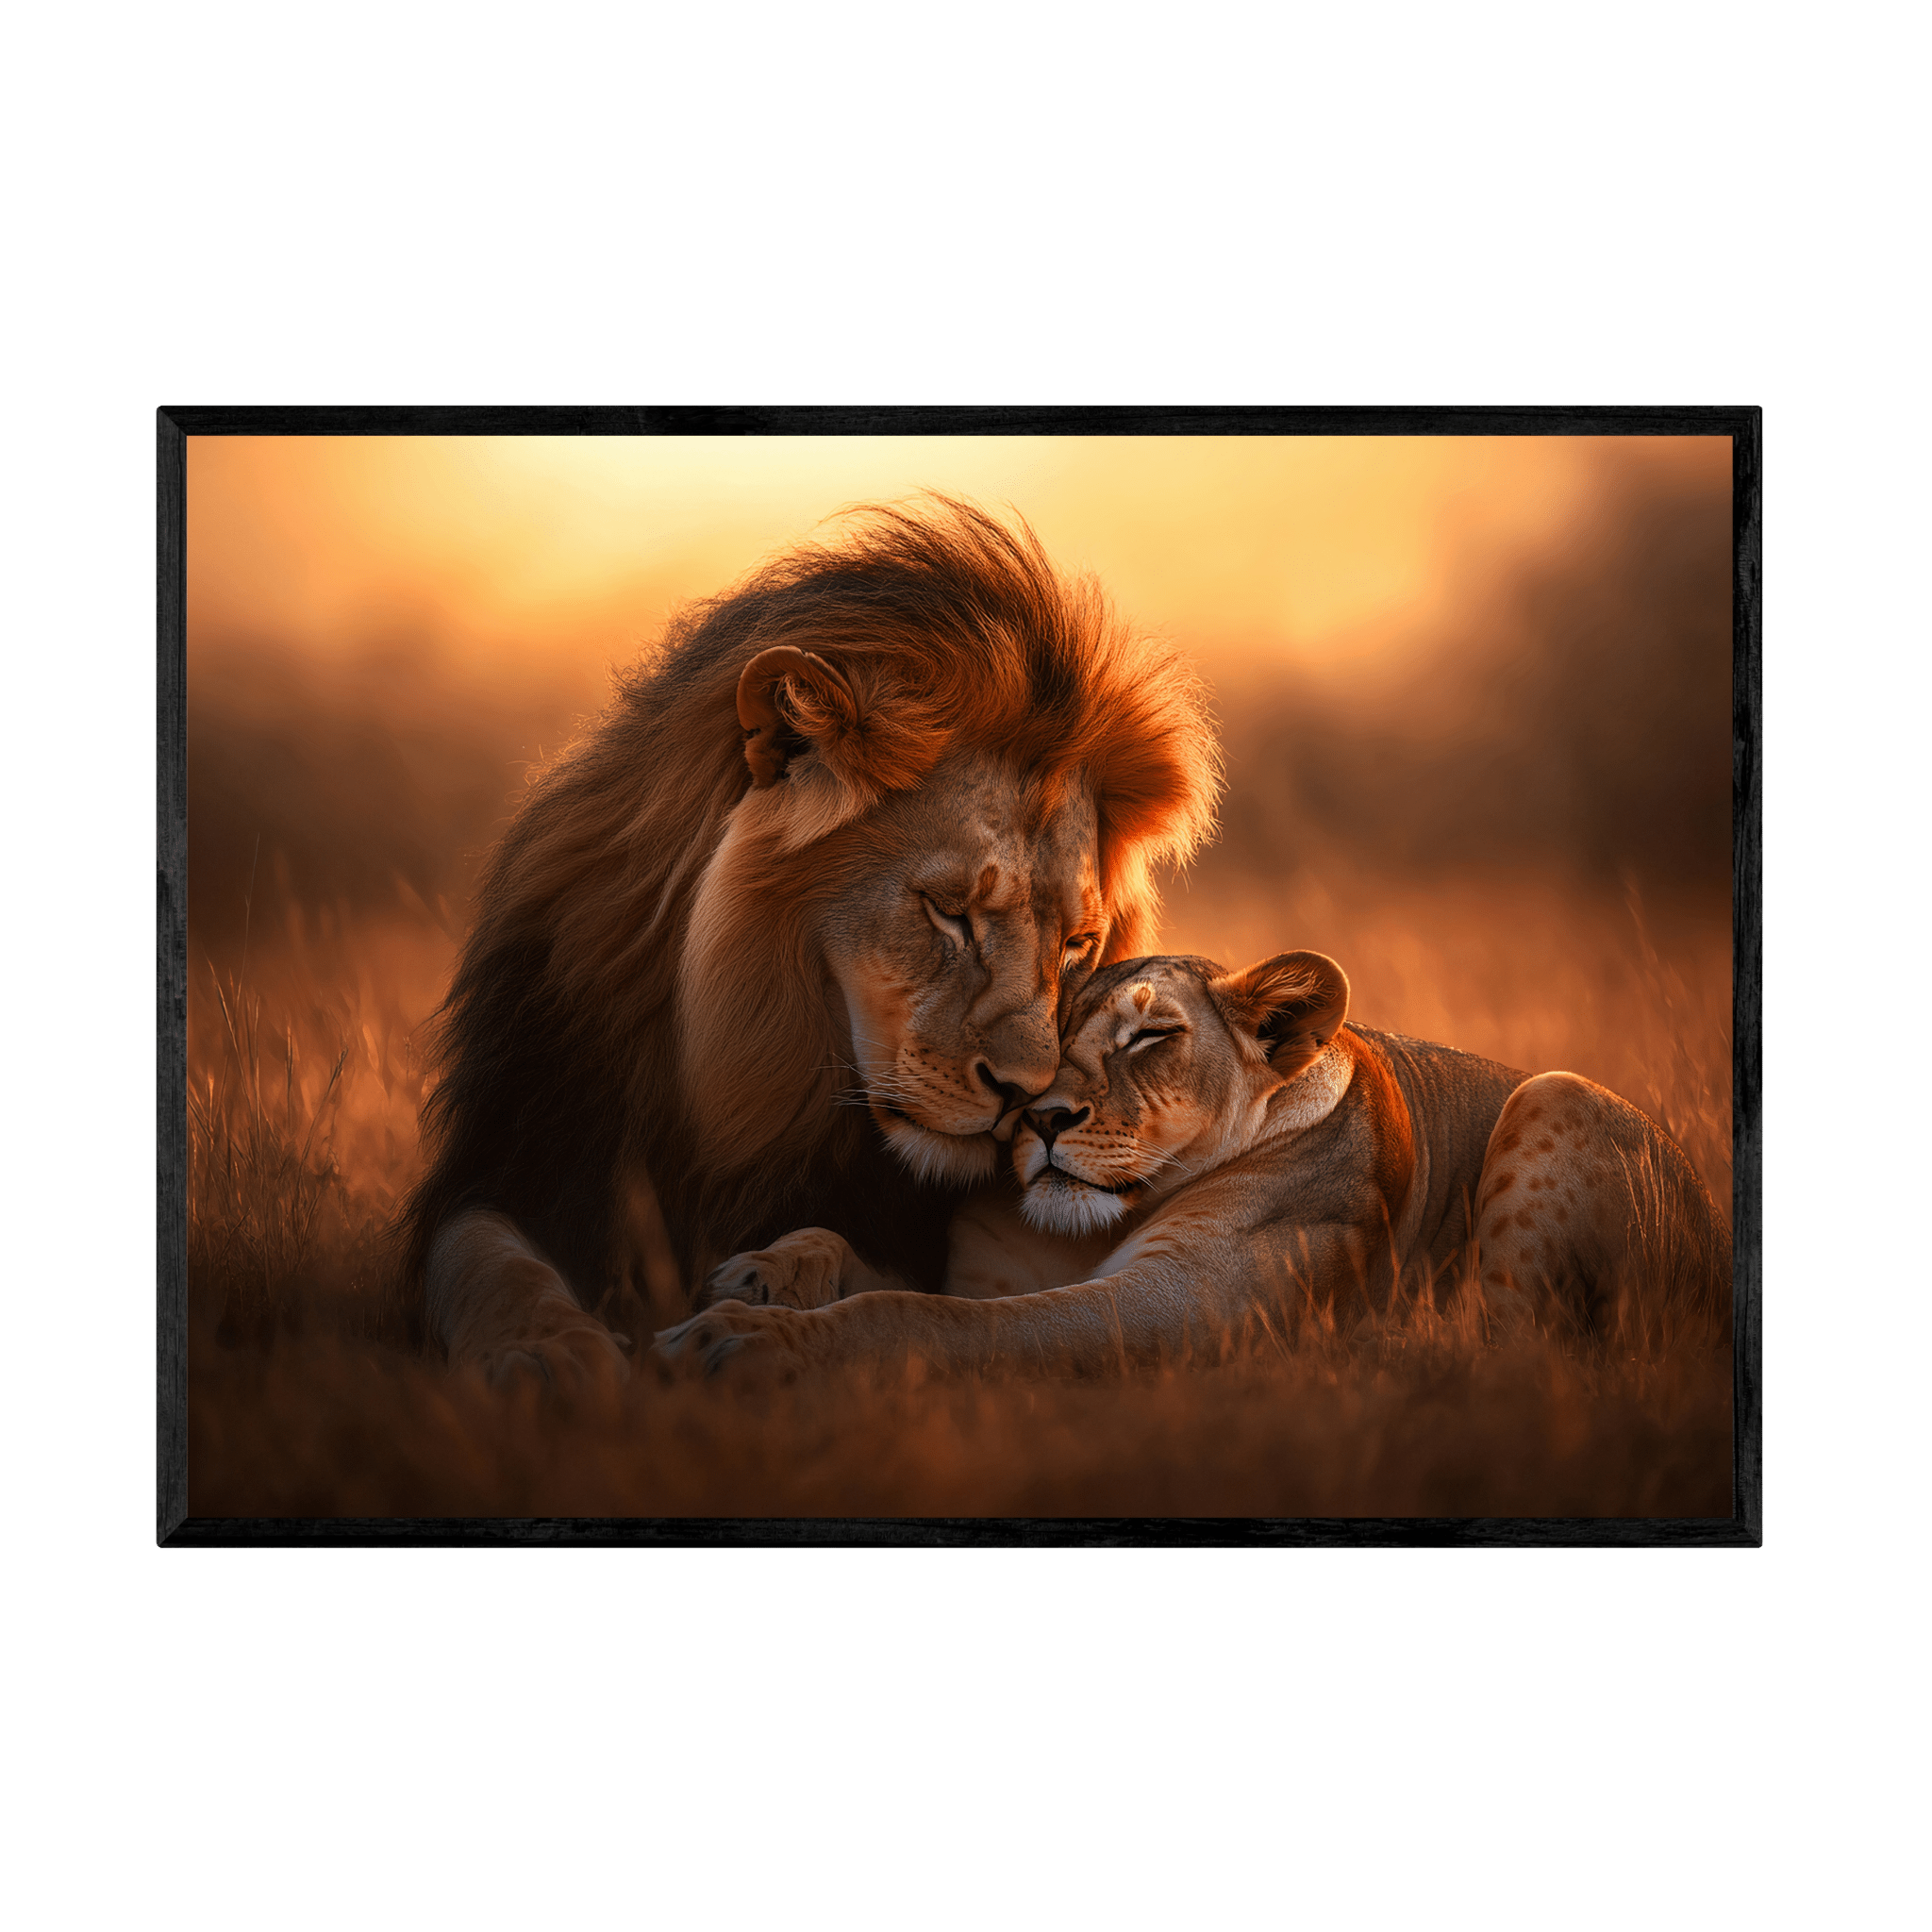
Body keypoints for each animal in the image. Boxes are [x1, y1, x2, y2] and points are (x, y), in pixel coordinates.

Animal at [399, 500, 1220, 1388]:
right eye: (949, 912)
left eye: (1076, 946)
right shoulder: (522, 1154)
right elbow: (488, 1263)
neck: (761, 1065)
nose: (1025, 1096)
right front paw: (549, 1355)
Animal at [656, 950, 1732, 1377]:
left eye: (1149, 1038)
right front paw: (757, 1275)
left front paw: (741, 1340)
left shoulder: (1186, 1305)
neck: (1104, 1223)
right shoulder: (990, 1271)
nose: (1042, 1115)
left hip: (1555, 1092)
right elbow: (860, 1258)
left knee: (1514, 1356)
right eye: (1047, 1031)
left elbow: (920, 1316)